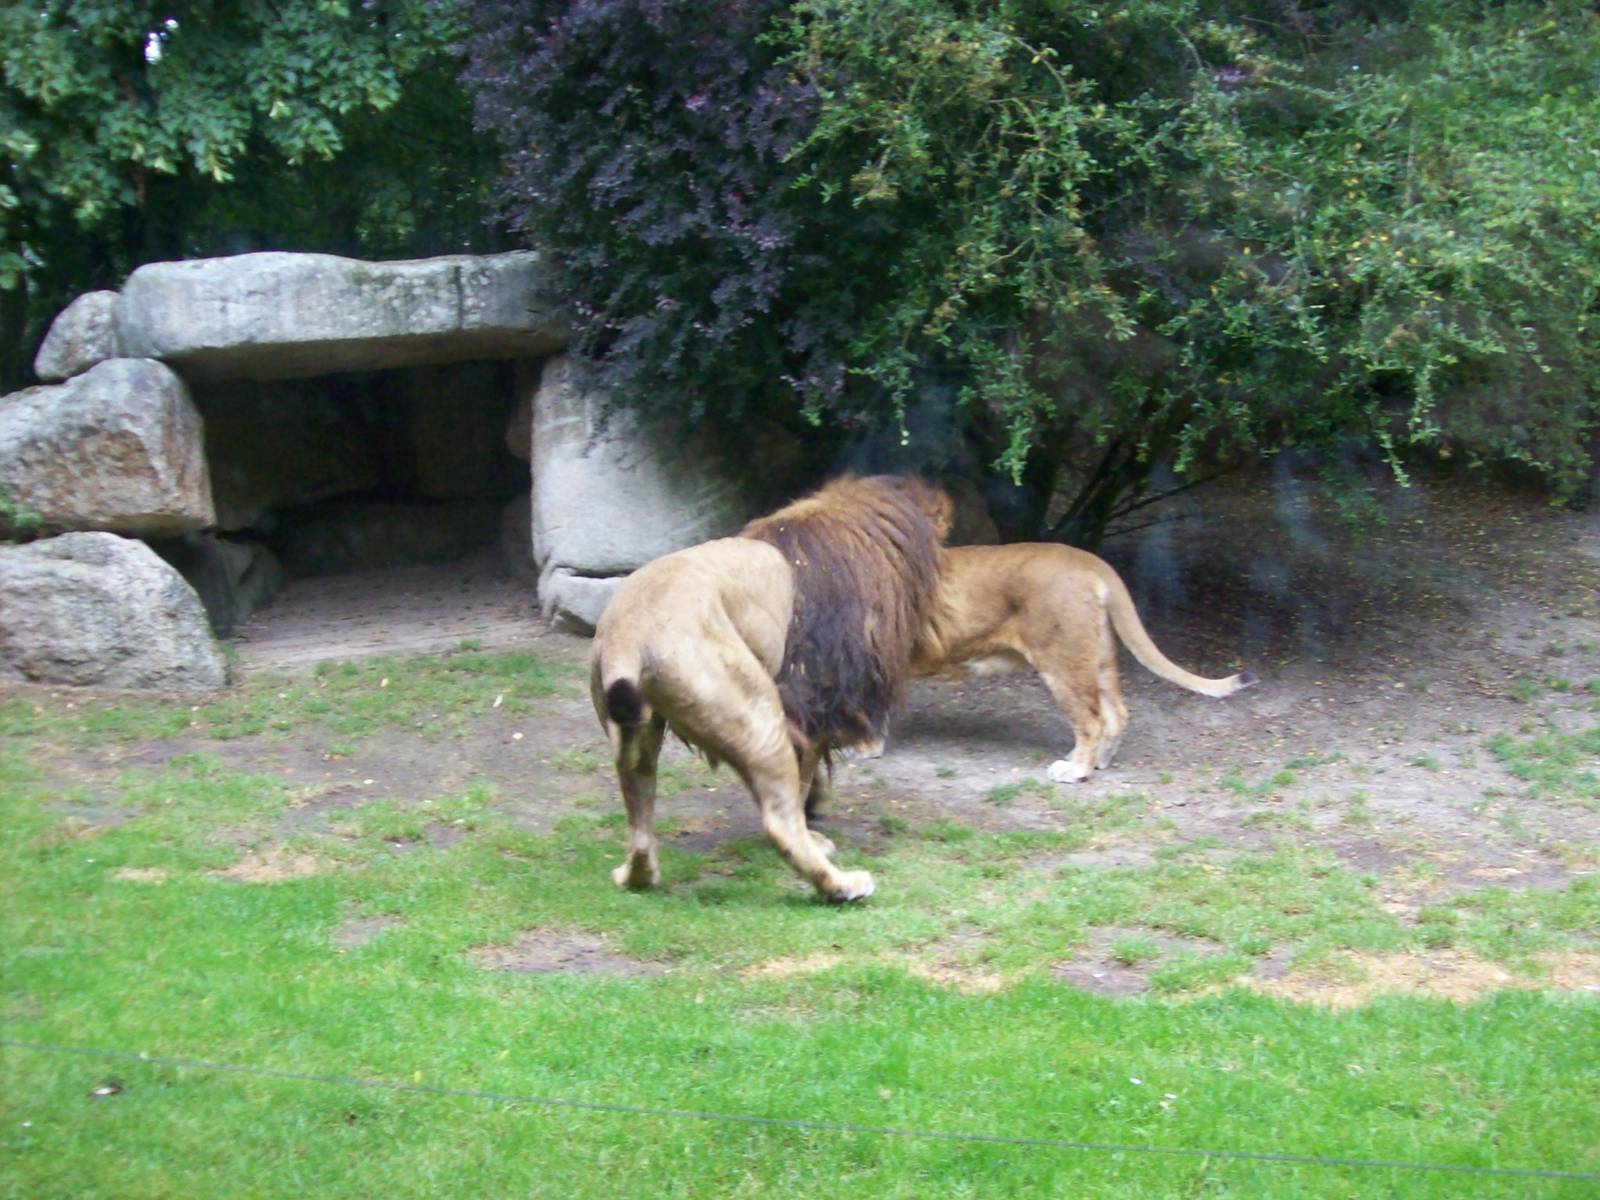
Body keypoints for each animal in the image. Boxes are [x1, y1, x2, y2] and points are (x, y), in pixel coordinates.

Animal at [589, 475, 952, 902]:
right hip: (756, 714)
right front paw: (814, 827)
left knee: (640, 824)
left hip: (638, 736)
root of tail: (629, 636)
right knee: (779, 822)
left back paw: (635, 876)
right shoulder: (813, 699)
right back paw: (843, 885)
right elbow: (806, 769)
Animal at [867, 542, 1255, 783]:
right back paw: (1095, 761)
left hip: (1062, 662)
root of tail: (1091, 561)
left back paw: (1076, 771)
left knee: (1092, 720)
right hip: (1097, 658)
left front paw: (867, 750)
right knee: (1116, 713)